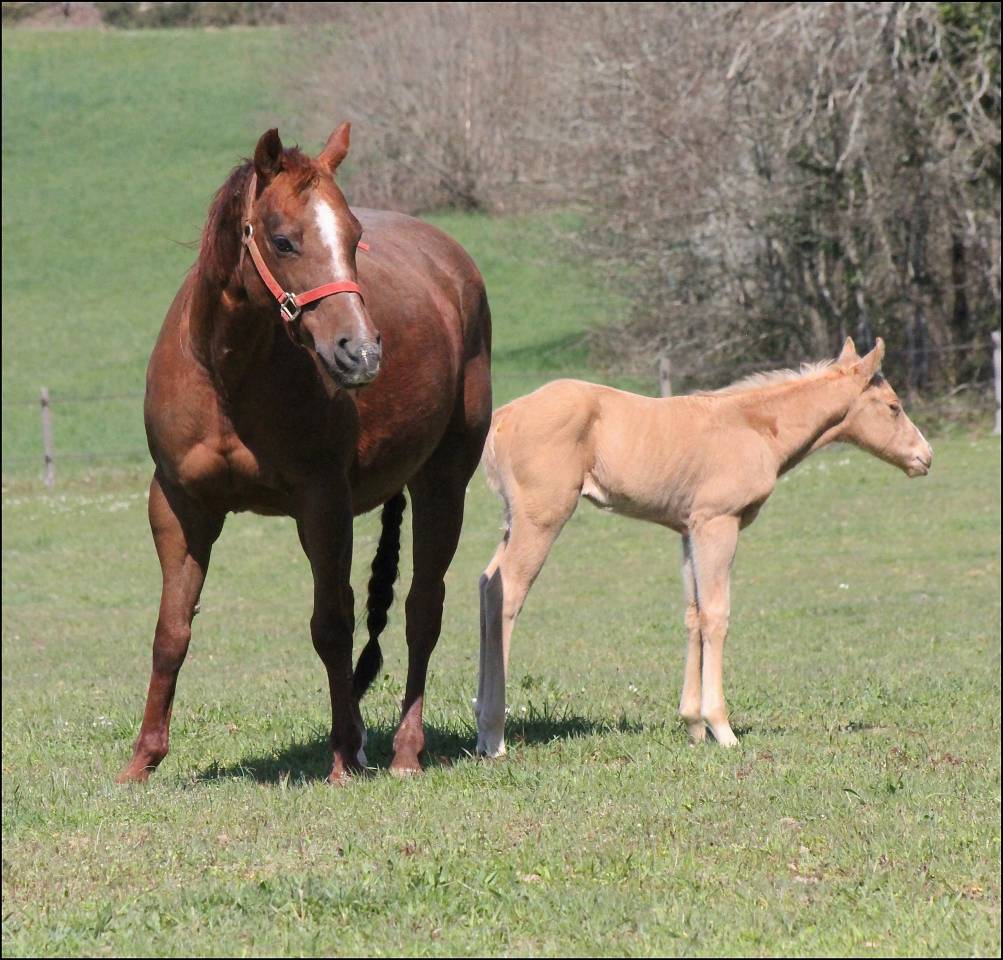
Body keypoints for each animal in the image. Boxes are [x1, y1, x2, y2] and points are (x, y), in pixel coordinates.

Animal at [117, 123, 492, 784]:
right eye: (283, 239)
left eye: (355, 237)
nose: (360, 353)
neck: (226, 375)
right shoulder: (179, 505)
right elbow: (172, 631)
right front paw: (142, 761)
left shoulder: (322, 504)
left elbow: (332, 627)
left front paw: (340, 760)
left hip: (443, 482)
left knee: (422, 610)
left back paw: (403, 752)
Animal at [474, 338, 932, 756]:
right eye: (894, 406)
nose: (925, 457)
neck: (754, 426)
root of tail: (503, 418)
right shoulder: (718, 523)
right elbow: (716, 615)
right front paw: (722, 728)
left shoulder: (688, 530)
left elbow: (693, 614)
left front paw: (693, 725)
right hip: (541, 519)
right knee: (508, 594)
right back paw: (495, 736)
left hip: (514, 521)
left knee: (487, 585)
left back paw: (480, 725)